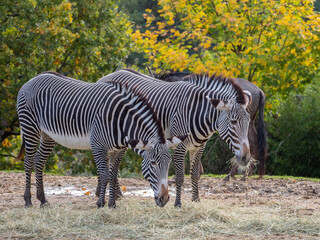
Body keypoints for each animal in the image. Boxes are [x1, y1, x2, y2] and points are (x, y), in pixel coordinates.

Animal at [15, 71, 185, 208]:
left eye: (168, 163)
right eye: (153, 163)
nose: (164, 199)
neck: (121, 122)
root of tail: (32, 79)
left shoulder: (118, 150)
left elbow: (113, 175)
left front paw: (112, 204)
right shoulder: (98, 146)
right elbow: (104, 175)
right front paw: (101, 203)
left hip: (47, 134)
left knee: (39, 160)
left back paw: (43, 200)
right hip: (30, 127)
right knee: (28, 161)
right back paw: (28, 200)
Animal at [97, 69, 252, 208]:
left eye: (249, 121)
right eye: (233, 122)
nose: (246, 158)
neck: (196, 112)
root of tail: (105, 77)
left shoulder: (198, 147)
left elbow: (195, 174)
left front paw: (196, 200)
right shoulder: (179, 146)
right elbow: (179, 177)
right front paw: (178, 204)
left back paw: (112, 195)